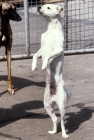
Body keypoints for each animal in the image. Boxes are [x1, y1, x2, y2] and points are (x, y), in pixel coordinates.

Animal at [31, 3, 71, 138]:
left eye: (48, 7)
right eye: (43, 5)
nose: (38, 7)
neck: (51, 30)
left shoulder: (58, 49)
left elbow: (48, 56)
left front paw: (44, 65)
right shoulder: (42, 48)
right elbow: (35, 55)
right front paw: (33, 66)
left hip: (62, 107)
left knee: (63, 122)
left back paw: (64, 134)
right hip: (47, 106)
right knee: (55, 119)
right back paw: (53, 131)